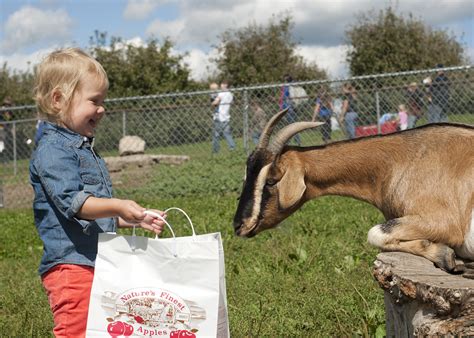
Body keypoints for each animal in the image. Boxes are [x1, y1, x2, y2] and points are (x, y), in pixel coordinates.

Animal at [233, 109, 474, 276]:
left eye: (271, 180)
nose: (239, 225)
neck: (403, 159)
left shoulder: (445, 222)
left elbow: (375, 233)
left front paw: (445, 255)